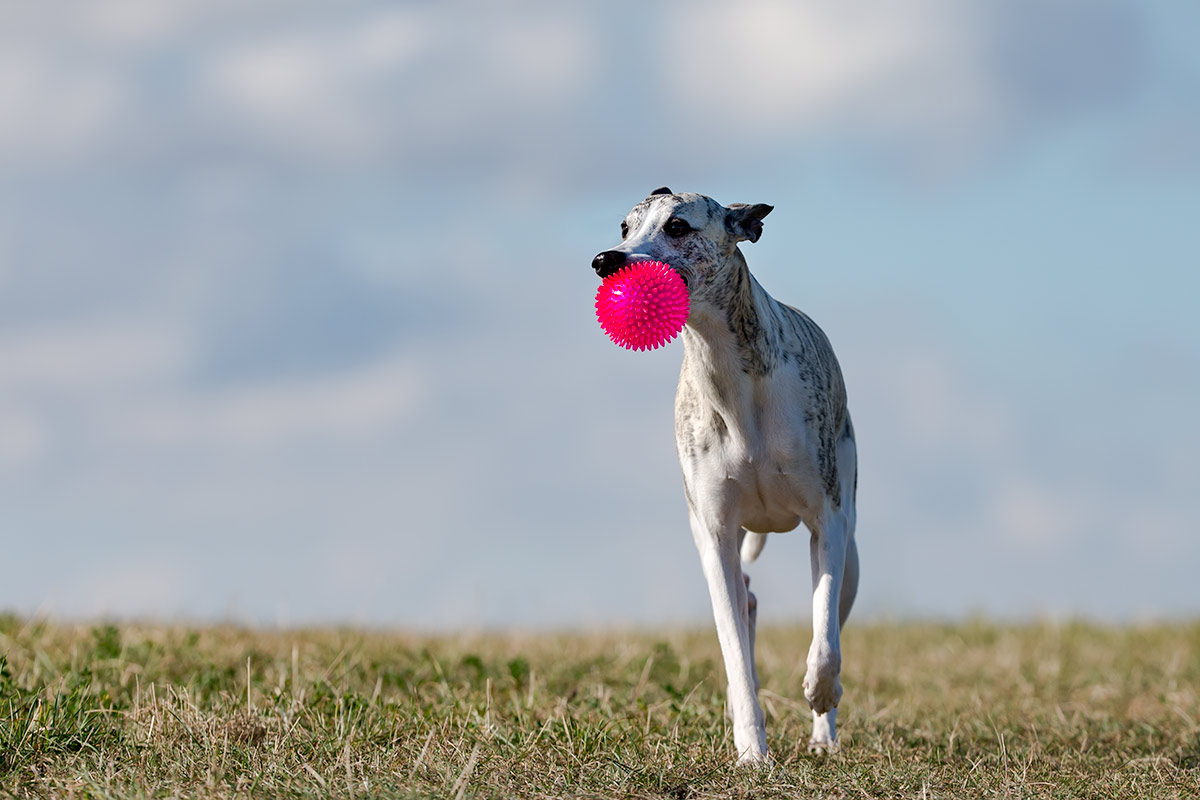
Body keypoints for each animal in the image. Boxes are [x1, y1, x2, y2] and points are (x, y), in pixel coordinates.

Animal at [592, 188, 859, 763]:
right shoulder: (713, 534)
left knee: (828, 615)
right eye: (624, 227)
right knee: (746, 602)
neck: (733, 382)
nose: (605, 261)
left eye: (678, 225)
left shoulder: (827, 522)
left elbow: (824, 633)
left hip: (849, 543)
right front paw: (752, 749)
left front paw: (819, 691)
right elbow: (734, 651)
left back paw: (823, 733)